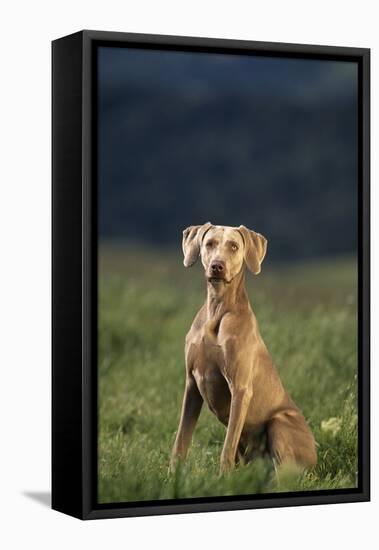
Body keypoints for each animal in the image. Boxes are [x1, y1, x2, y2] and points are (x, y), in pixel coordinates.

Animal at [170, 224, 318, 474]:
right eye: (209, 243)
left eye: (233, 246)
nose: (217, 266)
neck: (217, 309)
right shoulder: (191, 385)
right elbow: (181, 440)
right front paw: (172, 476)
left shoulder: (240, 389)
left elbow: (227, 447)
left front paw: (223, 478)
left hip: (280, 422)